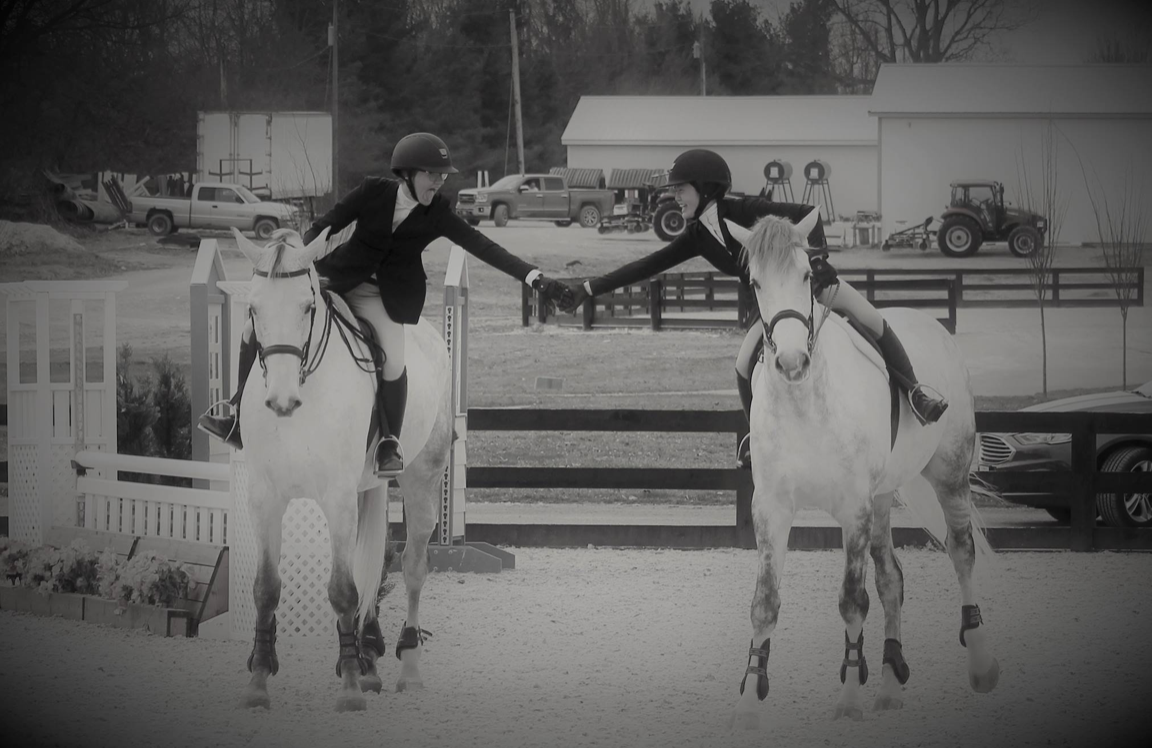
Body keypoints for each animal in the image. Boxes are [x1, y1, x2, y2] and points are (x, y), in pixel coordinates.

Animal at [231, 227, 451, 709]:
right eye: (253, 309)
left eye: (307, 307)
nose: (281, 401)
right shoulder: (264, 499)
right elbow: (266, 588)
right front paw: (258, 680)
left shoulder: (336, 498)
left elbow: (343, 591)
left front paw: (349, 689)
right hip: (366, 488)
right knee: (376, 566)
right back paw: (368, 659)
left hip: (421, 480)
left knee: (411, 567)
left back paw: (406, 667)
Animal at [728, 213, 999, 728]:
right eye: (755, 283)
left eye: (809, 275)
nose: (791, 362)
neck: (806, 401)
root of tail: (933, 325)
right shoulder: (771, 508)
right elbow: (763, 604)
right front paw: (750, 703)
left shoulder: (853, 508)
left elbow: (852, 602)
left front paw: (849, 699)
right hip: (882, 497)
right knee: (892, 577)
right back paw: (891, 686)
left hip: (948, 475)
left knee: (962, 553)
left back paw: (980, 665)